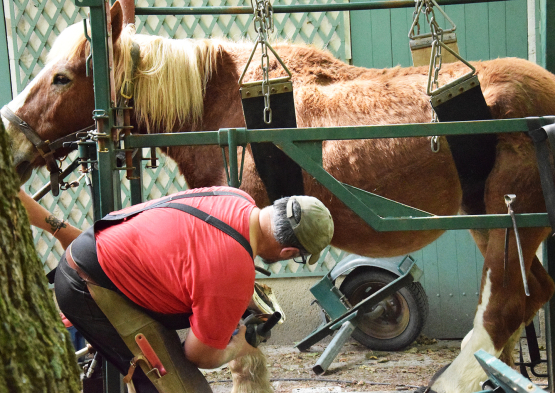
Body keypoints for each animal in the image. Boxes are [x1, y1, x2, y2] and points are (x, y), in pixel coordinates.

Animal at [6, 1, 555, 390]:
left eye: (61, 77)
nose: (8, 140)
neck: (222, 104)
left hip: (511, 220)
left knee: (504, 305)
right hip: (495, 225)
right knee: (529, 295)